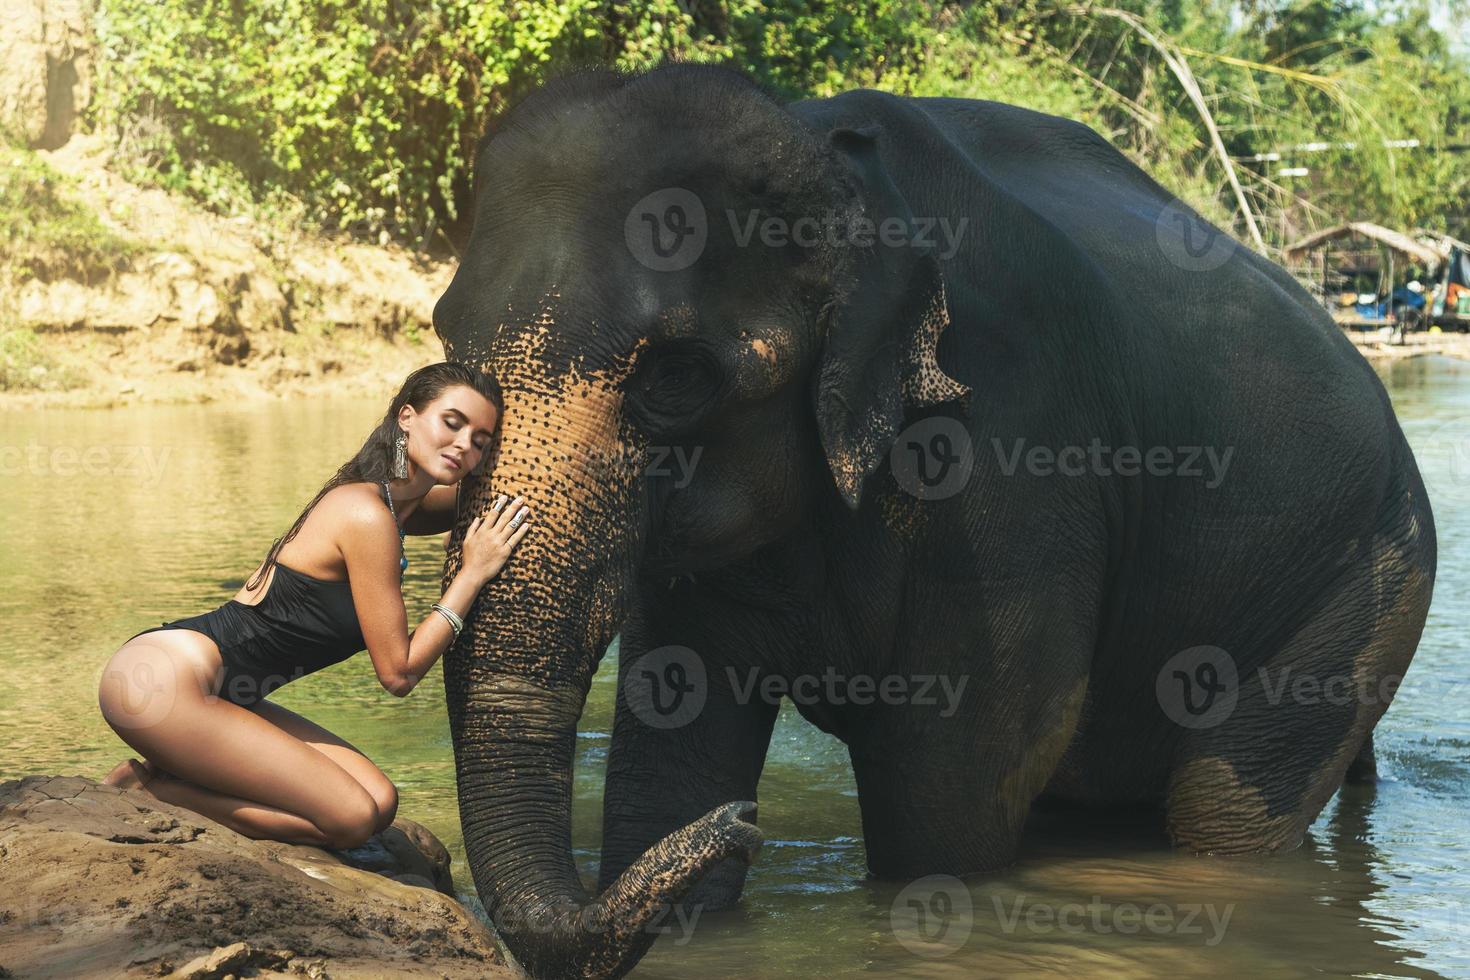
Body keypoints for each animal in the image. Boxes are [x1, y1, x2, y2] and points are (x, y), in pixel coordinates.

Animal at [429, 65, 1434, 975]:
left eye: (676, 378)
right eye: (447, 345)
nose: (746, 827)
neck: (826, 159)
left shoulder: (1015, 457)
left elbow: (949, 785)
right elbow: (674, 744)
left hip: (1365, 580)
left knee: (1223, 816)